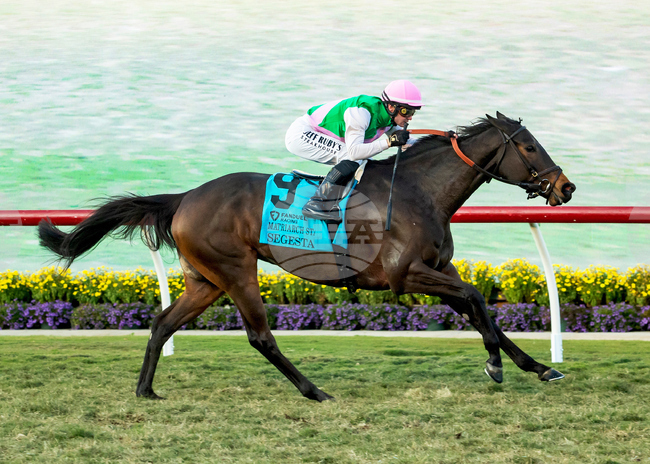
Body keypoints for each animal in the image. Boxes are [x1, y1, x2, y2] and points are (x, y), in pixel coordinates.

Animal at [38, 112, 576, 401]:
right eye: (530, 147)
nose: (566, 188)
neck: (418, 191)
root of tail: (186, 196)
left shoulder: (435, 269)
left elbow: (480, 308)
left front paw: (536, 367)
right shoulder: (407, 275)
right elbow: (477, 300)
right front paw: (497, 366)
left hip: (206, 280)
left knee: (163, 323)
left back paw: (146, 390)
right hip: (236, 270)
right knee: (259, 336)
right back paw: (314, 390)